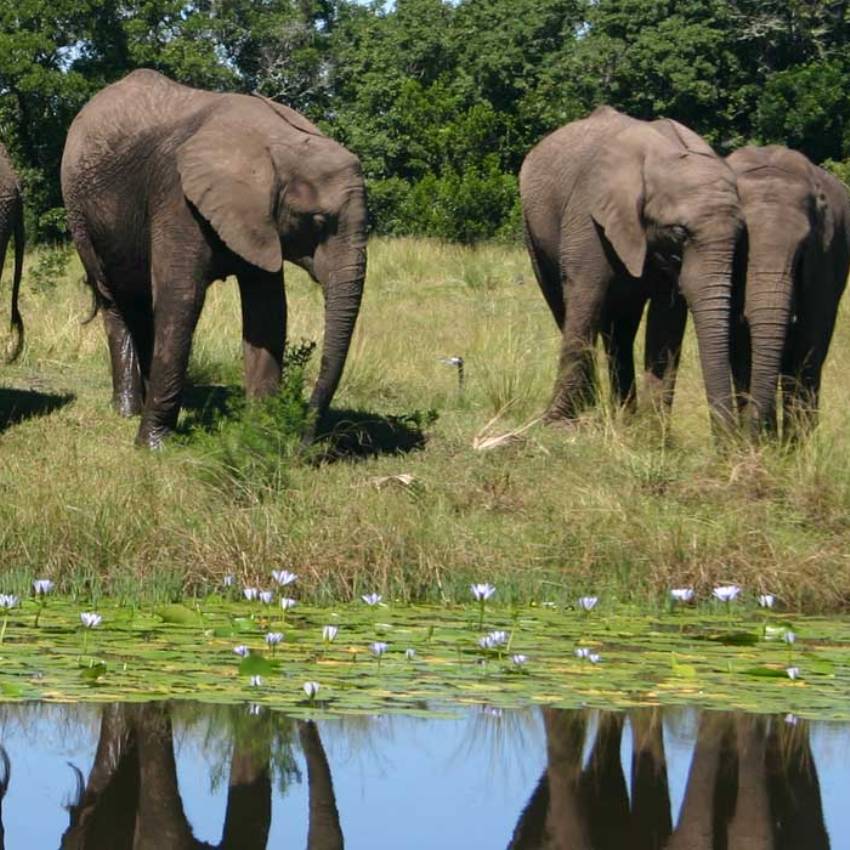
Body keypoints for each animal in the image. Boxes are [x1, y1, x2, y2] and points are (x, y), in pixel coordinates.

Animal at [61, 69, 367, 448]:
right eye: (319, 222)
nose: (304, 442)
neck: (276, 143)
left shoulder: (258, 222)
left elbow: (267, 311)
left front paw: (261, 434)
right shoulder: (178, 199)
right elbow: (181, 300)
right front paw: (153, 446)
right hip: (78, 211)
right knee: (114, 300)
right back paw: (128, 411)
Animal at [520, 106, 743, 430]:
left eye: (741, 236)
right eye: (679, 232)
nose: (730, 437)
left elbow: (667, 318)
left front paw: (652, 432)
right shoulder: (588, 214)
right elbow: (585, 295)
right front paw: (557, 424)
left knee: (621, 329)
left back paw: (625, 415)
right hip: (531, 228)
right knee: (565, 306)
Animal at [726, 145, 850, 439]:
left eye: (802, 252)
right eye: (741, 247)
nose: (752, 433)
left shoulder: (824, 259)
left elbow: (807, 348)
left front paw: (793, 446)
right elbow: (740, 351)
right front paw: (762, 441)